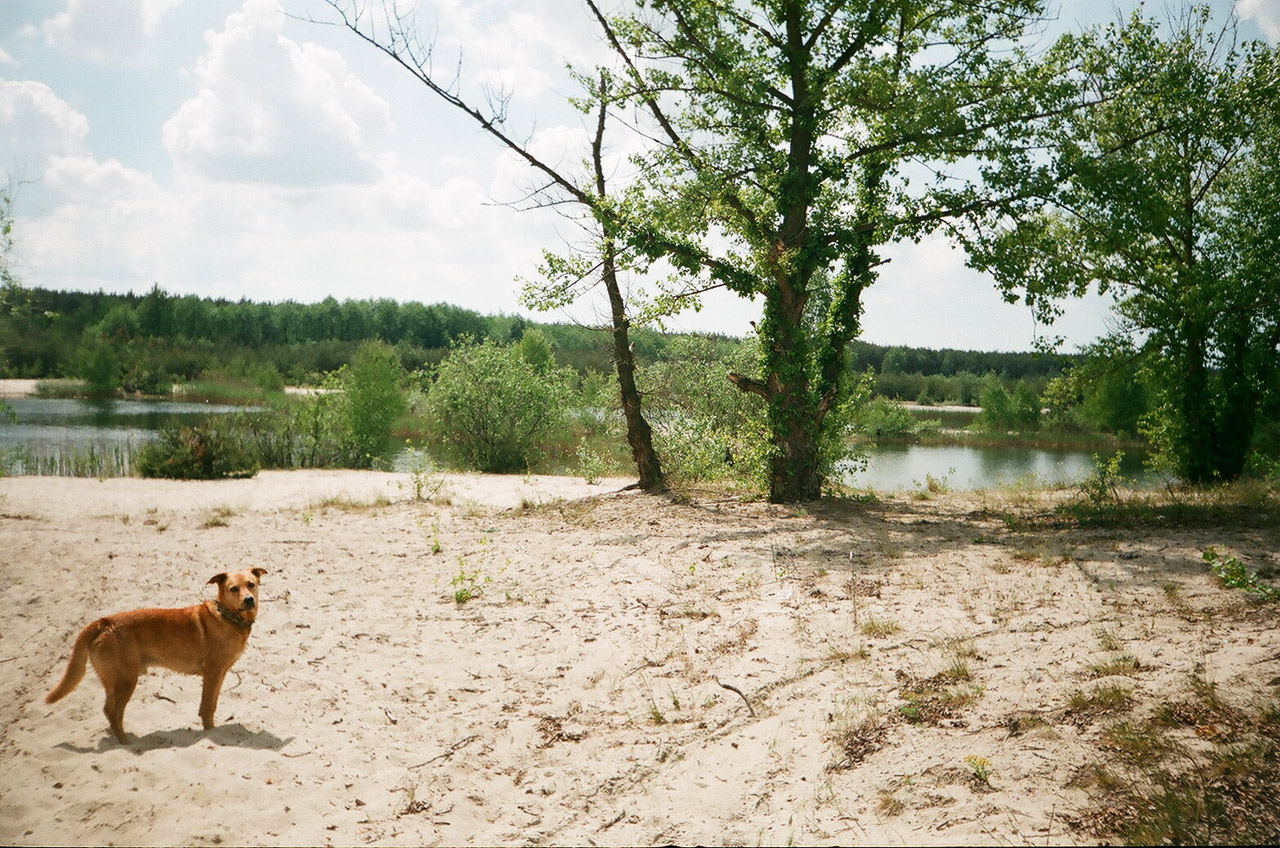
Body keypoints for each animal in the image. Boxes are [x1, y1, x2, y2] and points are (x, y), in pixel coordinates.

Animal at [46, 571, 267, 742]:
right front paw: (210, 732)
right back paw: (128, 744)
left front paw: (212, 729)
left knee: (108, 710)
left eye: (251, 584)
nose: (249, 600)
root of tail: (103, 622)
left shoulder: (220, 673)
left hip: (113, 680)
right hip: (127, 680)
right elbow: (206, 707)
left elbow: (211, 705)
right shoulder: (212, 673)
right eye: (233, 589)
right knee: (114, 713)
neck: (228, 616)